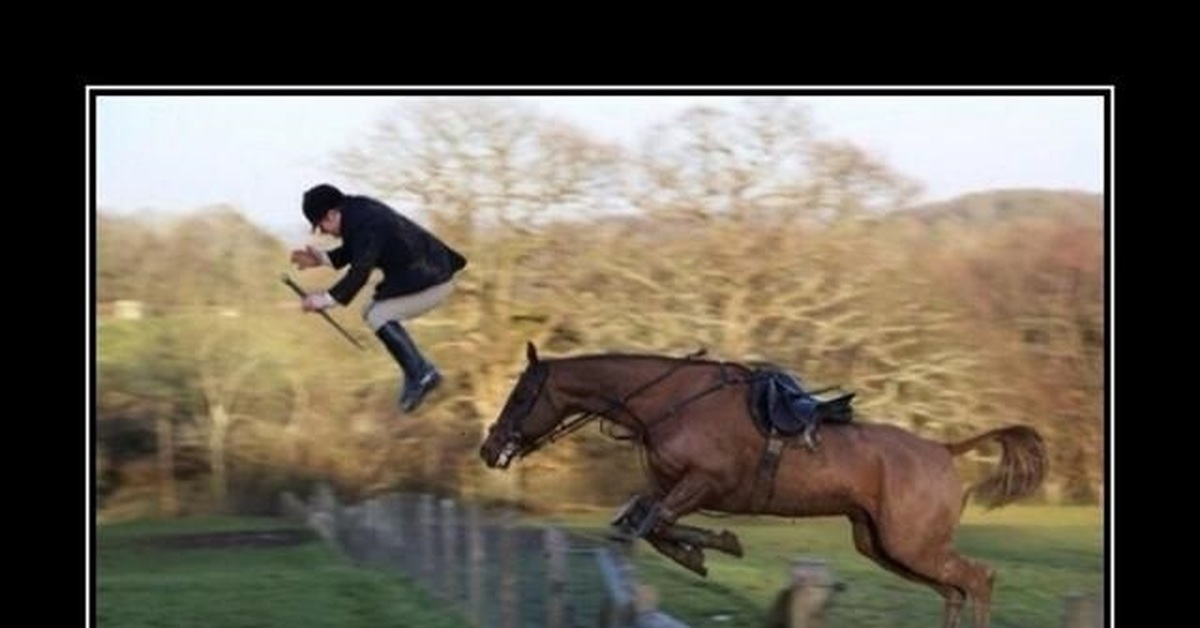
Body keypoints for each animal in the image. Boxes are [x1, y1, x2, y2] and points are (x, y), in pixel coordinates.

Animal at [482, 343, 1046, 628]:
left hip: (912, 543)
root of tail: (945, 451)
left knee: (978, 580)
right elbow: (640, 522)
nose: (490, 449)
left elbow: (655, 523)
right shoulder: (668, 489)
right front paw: (705, 550)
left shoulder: (704, 484)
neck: (670, 402)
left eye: (520, 396)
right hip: (884, 546)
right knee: (953, 589)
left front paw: (714, 546)